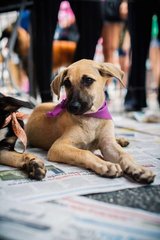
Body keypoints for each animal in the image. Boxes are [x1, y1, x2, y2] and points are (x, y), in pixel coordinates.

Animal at [25, 59, 155, 183]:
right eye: (67, 83)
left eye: (88, 80)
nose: (72, 107)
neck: (92, 118)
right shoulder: (58, 147)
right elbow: (84, 153)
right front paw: (105, 164)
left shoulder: (108, 145)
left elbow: (124, 155)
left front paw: (139, 169)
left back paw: (121, 140)